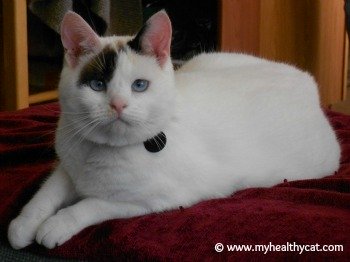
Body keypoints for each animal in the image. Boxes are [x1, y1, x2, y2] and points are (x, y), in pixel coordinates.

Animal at [8, 10, 340, 250]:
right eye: (97, 85)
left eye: (139, 85)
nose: (117, 104)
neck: (103, 153)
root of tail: (306, 80)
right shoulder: (68, 169)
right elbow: (46, 193)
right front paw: (23, 224)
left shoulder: (156, 200)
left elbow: (92, 203)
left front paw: (57, 224)